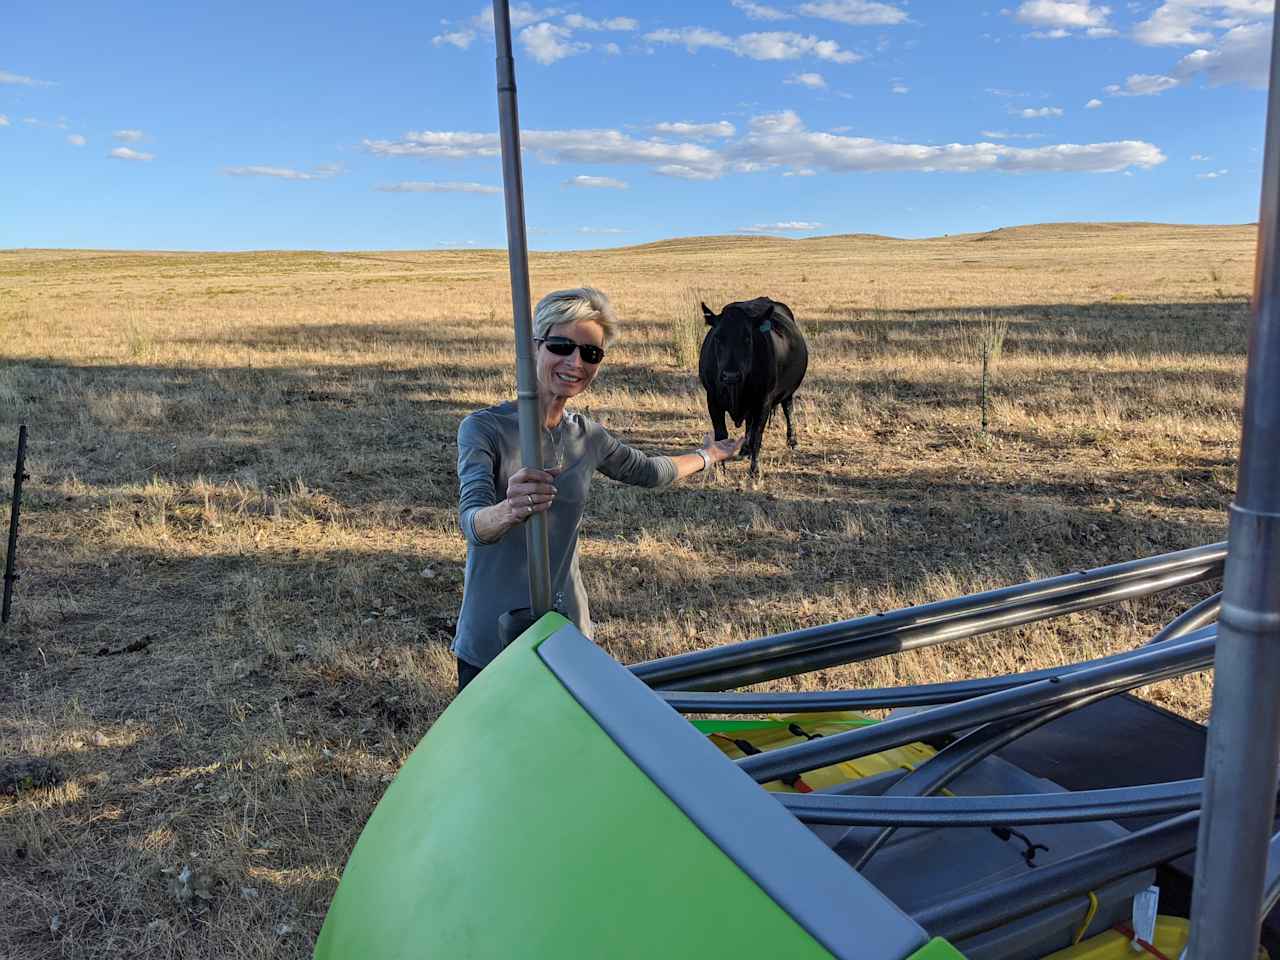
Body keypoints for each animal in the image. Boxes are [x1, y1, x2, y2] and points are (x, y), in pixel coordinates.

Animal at [701, 299, 808, 478]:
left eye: (748, 338)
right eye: (717, 338)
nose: (731, 375)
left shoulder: (763, 402)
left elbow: (758, 435)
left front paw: (754, 470)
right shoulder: (713, 401)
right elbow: (721, 436)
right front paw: (721, 471)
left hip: (787, 393)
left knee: (788, 409)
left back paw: (792, 441)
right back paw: (745, 449)